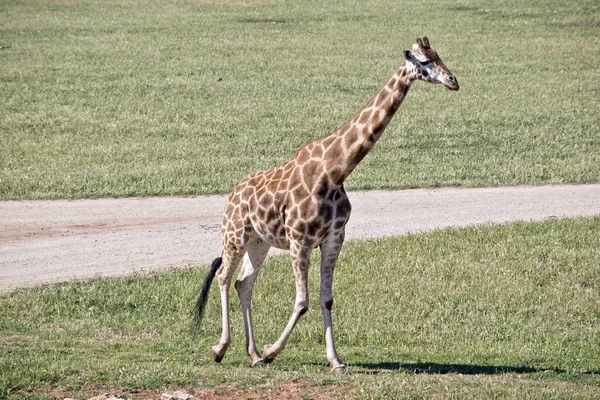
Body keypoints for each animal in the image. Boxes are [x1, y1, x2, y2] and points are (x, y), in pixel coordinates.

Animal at [192, 36, 460, 376]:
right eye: (424, 62)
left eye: (438, 55)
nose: (453, 81)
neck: (333, 174)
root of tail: (232, 194)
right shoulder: (300, 240)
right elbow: (302, 301)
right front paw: (272, 351)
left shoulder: (333, 239)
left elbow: (326, 299)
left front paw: (335, 361)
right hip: (235, 234)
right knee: (224, 277)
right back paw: (221, 348)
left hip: (259, 242)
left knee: (244, 283)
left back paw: (252, 354)